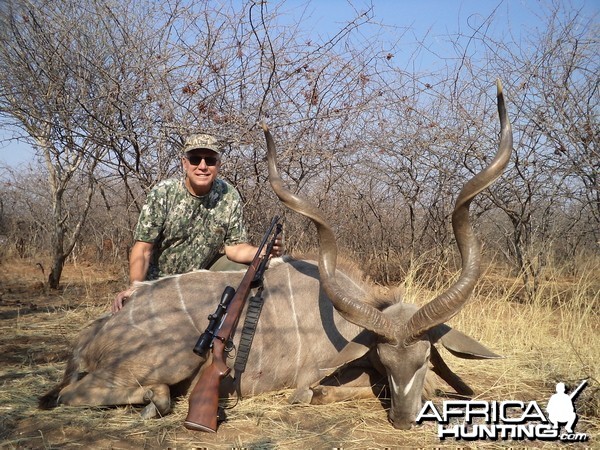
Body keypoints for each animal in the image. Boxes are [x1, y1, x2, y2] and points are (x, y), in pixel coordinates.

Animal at [38, 81, 510, 428]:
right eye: (384, 357)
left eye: (424, 356)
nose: (404, 419)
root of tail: (92, 335)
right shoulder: (314, 380)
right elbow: (322, 391)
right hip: (171, 361)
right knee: (76, 396)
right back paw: (156, 399)